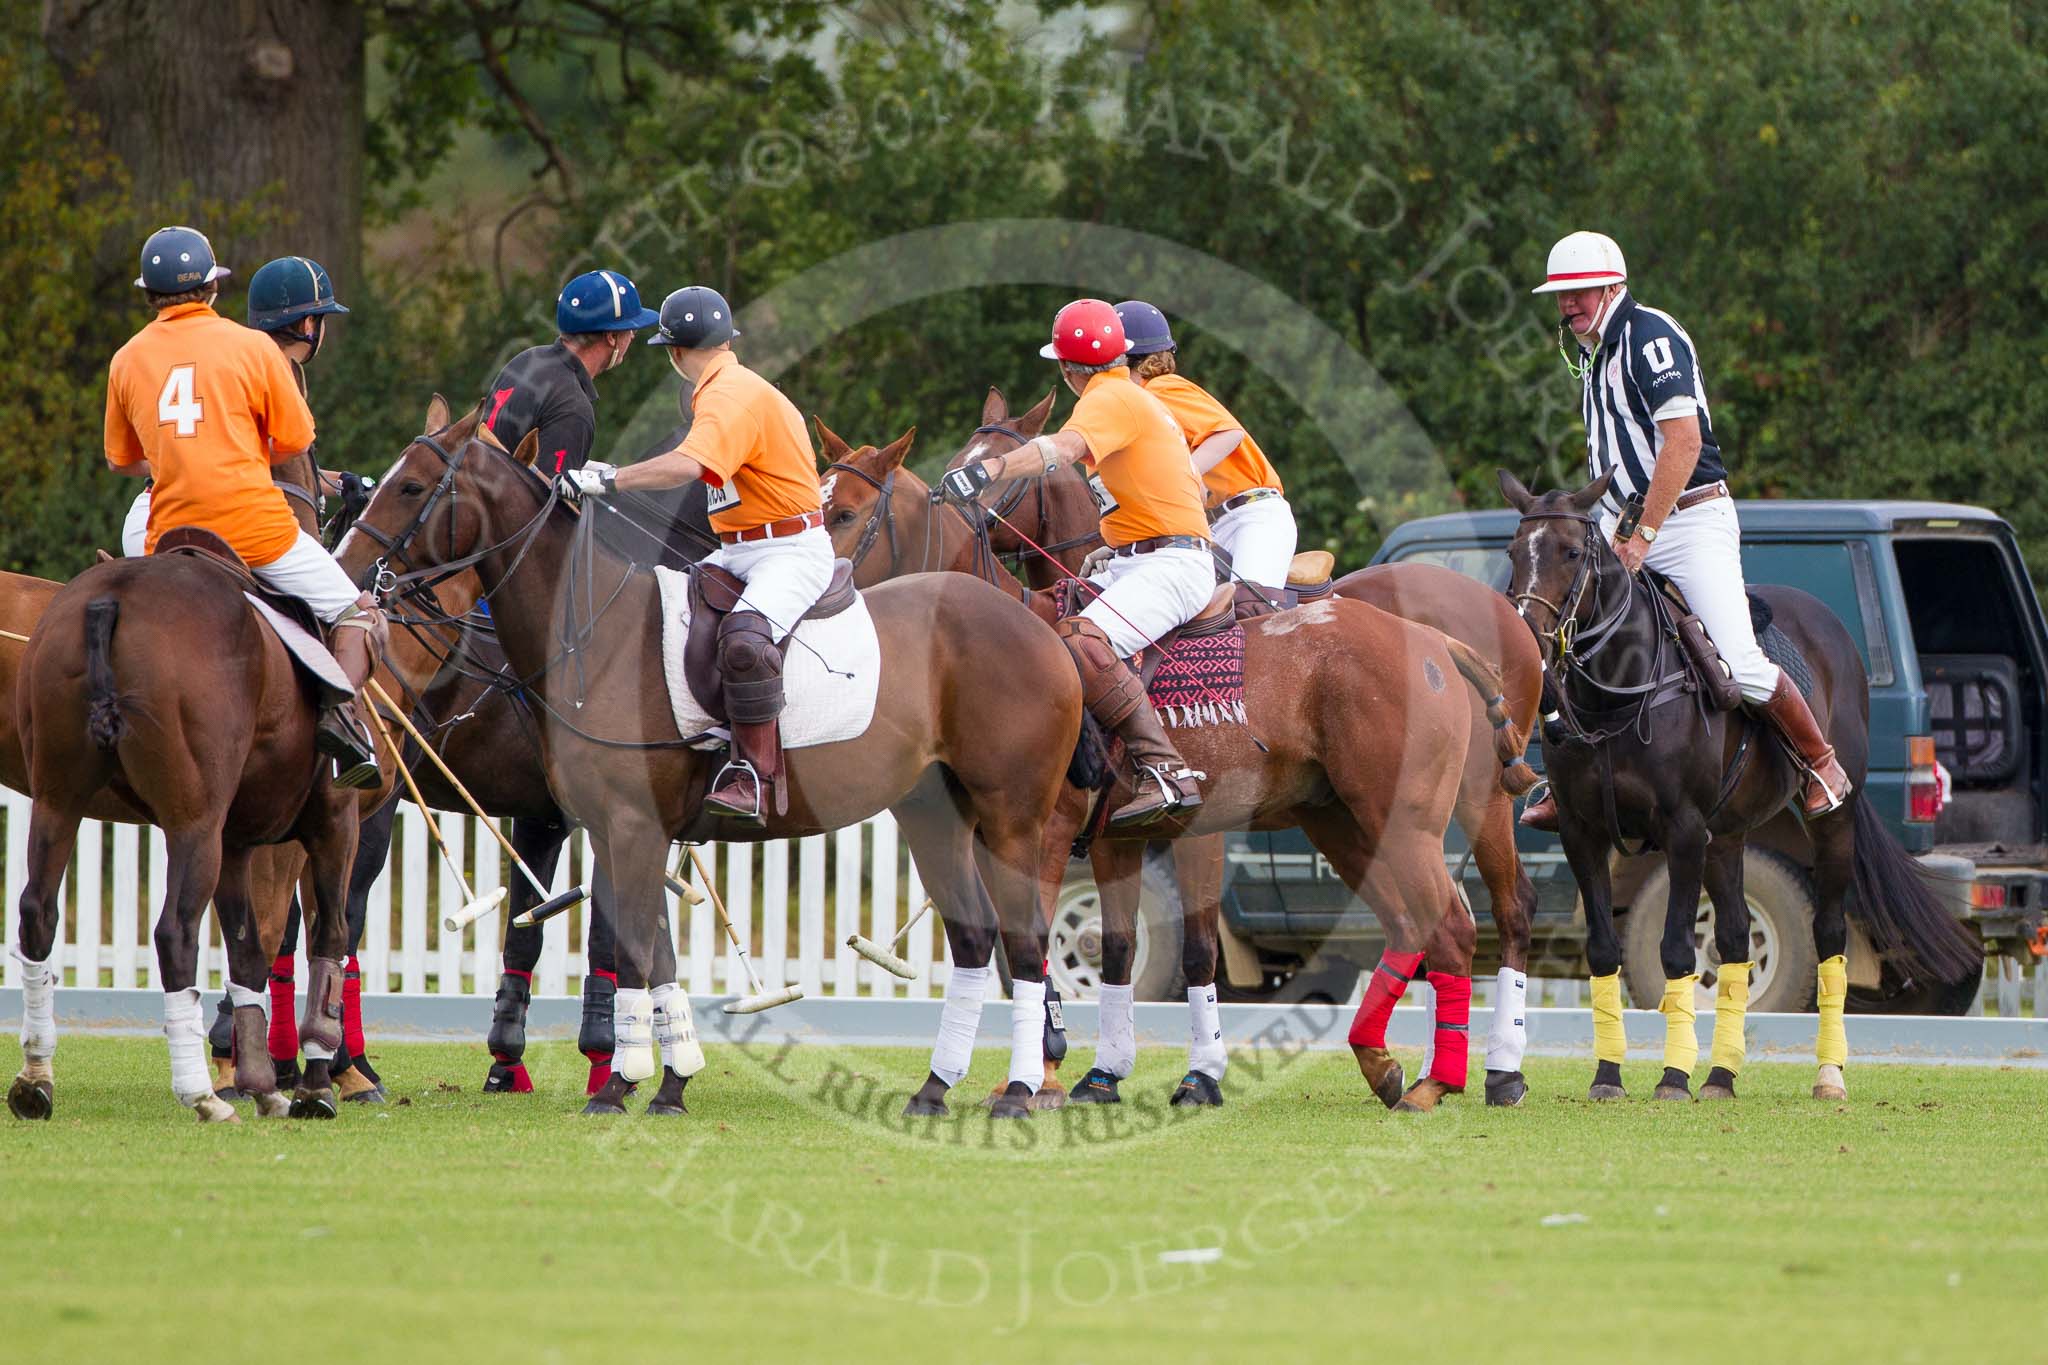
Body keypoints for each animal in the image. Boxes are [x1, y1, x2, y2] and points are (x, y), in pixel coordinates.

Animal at [344, 405, 1097, 1121]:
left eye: (411, 486)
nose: (350, 571)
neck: (596, 637)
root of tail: (1047, 631)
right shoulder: (616, 830)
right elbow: (654, 954)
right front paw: (668, 1083)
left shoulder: (632, 825)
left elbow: (631, 952)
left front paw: (617, 1084)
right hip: (934, 814)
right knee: (973, 937)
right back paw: (935, 1089)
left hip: (1013, 816)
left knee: (1026, 943)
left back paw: (1021, 1090)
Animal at [819, 431, 1507, 1113]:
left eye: (846, 513)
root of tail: (1433, 642)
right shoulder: (1110, 839)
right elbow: (1108, 948)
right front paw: (1093, 1075)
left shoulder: (1052, 832)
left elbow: (1048, 947)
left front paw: (1045, 1078)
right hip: (1340, 820)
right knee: (1415, 923)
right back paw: (1388, 1067)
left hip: (1407, 818)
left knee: (1452, 924)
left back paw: (1437, 1083)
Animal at [1499, 470, 1974, 1096]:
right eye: (1513, 553)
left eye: (1572, 552)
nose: (1527, 643)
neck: (1617, 690)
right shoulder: (1583, 833)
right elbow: (1605, 950)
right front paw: (1608, 1076)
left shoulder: (1681, 831)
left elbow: (1676, 951)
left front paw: (1673, 1079)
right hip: (1725, 837)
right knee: (1733, 938)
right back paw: (1722, 1076)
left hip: (1830, 824)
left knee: (1828, 934)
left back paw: (1828, 1074)